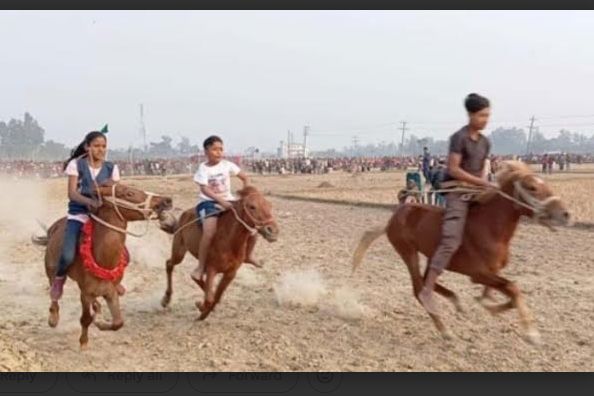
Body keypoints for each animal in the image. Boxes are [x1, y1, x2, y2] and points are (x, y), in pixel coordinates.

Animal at [32, 181, 171, 348]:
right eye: (129, 193)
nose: (166, 201)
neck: (103, 259)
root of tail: (52, 229)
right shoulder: (85, 294)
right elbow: (85, 319)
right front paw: (84, 342)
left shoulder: (110, 291)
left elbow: (118, 322)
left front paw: (100, 323)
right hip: (52, 270)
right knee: (55, 290)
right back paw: (53, 317)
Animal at [157, 186, 278, 322]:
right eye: (252, 207)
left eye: (269, 205)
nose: (273, 230)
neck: (230, 241)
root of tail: (185, 214)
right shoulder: (211, 269)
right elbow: (210, 299)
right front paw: (201, 310)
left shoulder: (230, 273)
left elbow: (216, 297)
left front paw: (203, 307)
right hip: (179, 251)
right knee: (170, 264)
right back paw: (166, 299)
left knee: (196, 278)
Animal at [352, 161, 568, 344]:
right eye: (532, 187)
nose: (565, 214)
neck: (490, 228)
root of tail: (392, 219)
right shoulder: (478, 274)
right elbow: (513, 288)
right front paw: (532, 334)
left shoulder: (492, 272)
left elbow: (500, 294)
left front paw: (490, 307)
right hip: (408, 251)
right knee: (419, 288)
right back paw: (445, 330)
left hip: (431, 256)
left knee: (427, 280)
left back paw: (456, 301)